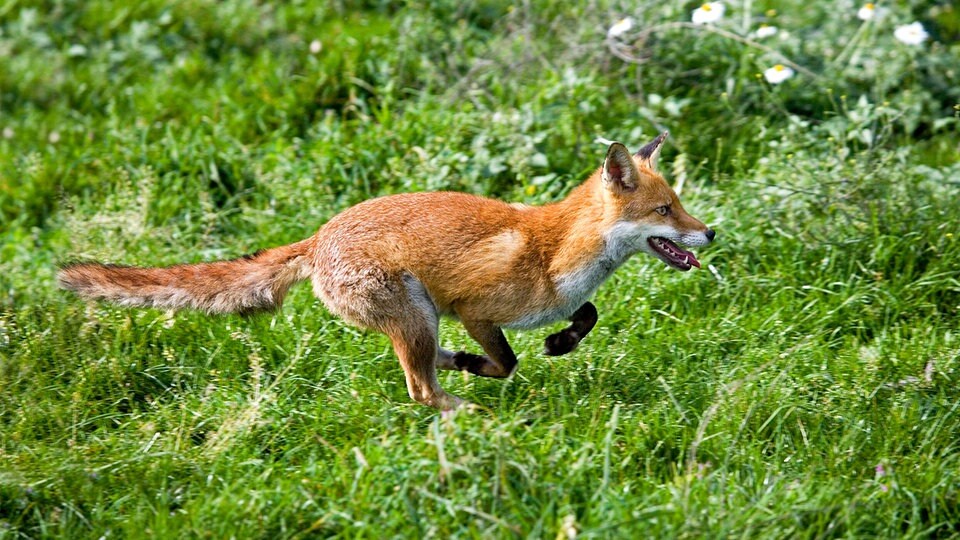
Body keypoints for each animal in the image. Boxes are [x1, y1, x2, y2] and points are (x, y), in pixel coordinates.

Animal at [59, 132, 715, 410]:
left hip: (416, 319)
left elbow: (588, 313)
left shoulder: (545, 303)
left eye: (679, 203)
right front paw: (493, 365)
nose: (711, 233)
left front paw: (560, 342)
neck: (555, 251)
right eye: (664, 211)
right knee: (420, 388)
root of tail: (319, 235)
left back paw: (455, 373)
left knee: (420, 371)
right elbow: (506, 362)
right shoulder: (475, 309)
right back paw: (468, 413)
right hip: (418, 312)